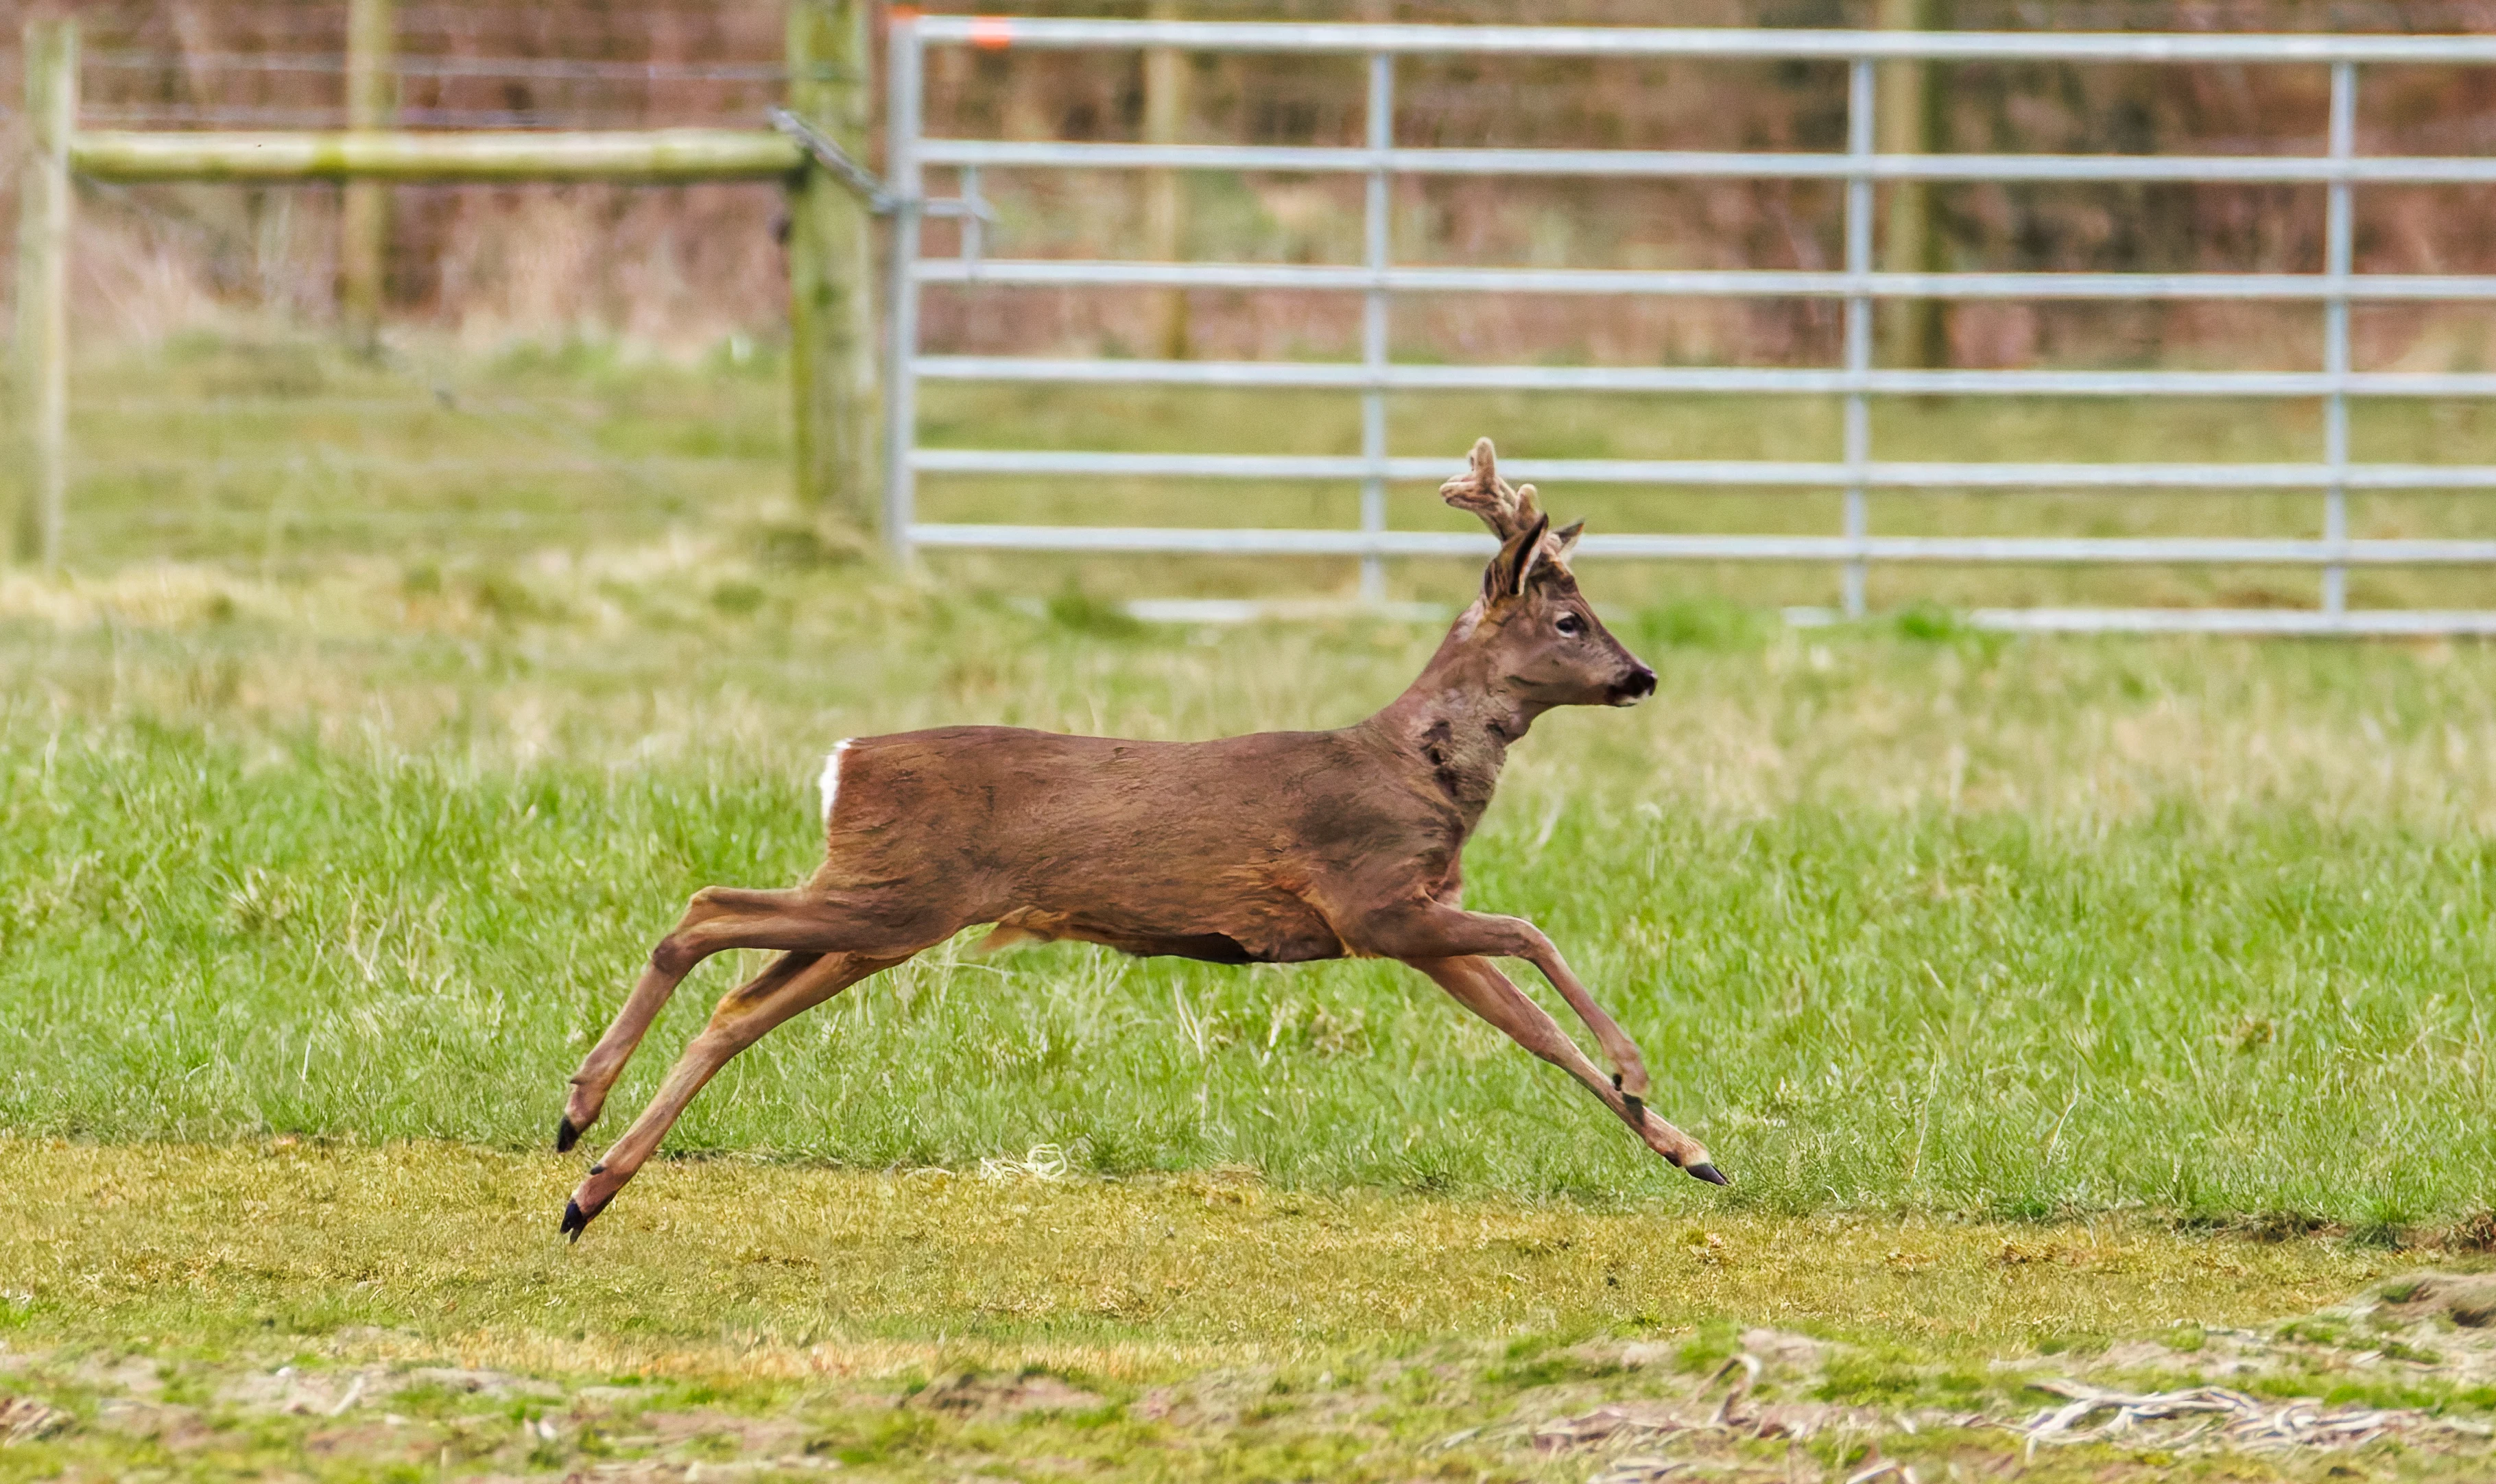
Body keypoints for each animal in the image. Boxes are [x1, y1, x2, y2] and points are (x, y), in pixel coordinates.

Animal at [553, 436, 1725, 1241]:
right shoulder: (1371, 900)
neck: (1412, 767)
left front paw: (1689, 1151)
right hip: (898, 895)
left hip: (884, 914)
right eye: (1568, 620)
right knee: (702, 913)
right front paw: (1638, 1071)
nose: (1641, 676)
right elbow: (1533, 936)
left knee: (737, 1006)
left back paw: (587, 1186)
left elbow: (1535, 1033)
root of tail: (844, 762)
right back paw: (578, 1111)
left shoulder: (1413, 920)